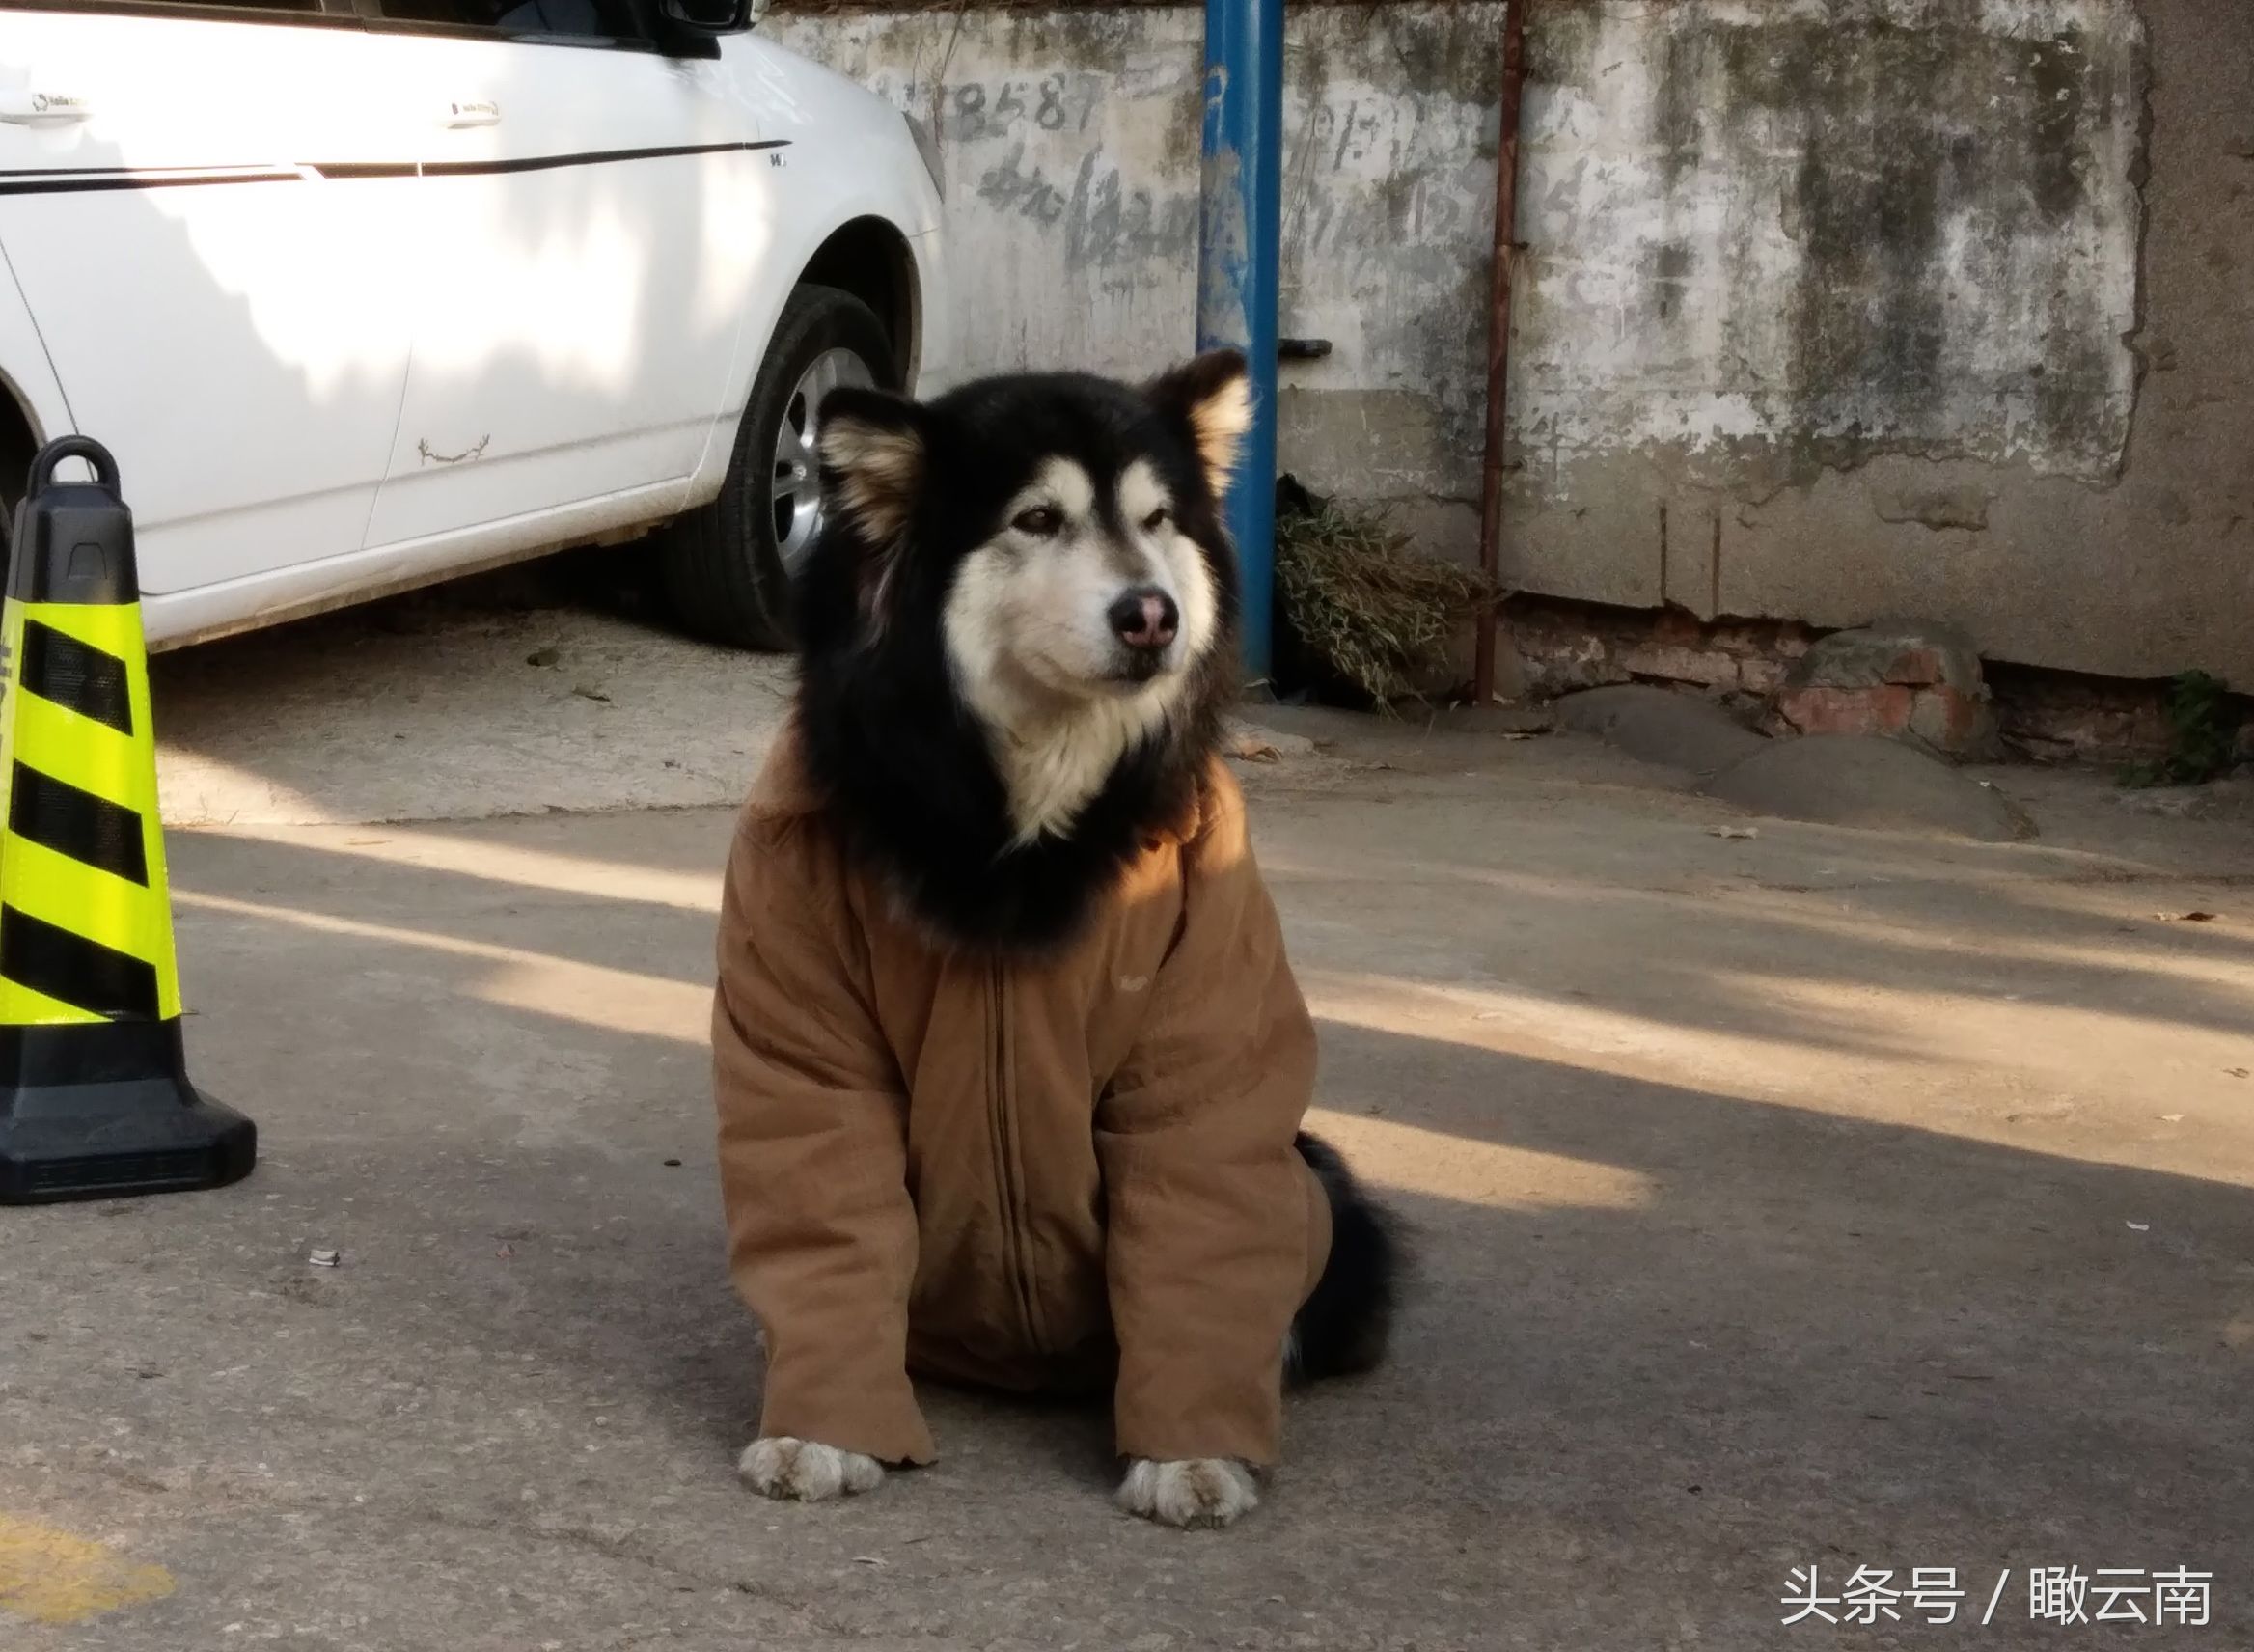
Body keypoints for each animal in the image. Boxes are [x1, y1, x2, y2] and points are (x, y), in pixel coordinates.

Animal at [712, 346, 1397, 1523]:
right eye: (1036, 519)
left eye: (1158, 518)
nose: (1151, 615)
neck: (1021, 810)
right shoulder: (800, 1001)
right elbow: (823, 1192)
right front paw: (820, 1425)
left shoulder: (1199, 1025)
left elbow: (1196, 1183)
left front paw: (1189, 1452)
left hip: (1322, 1189)